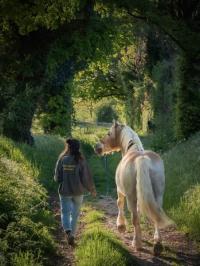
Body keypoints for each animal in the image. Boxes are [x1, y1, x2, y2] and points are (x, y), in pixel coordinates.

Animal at [94, 121, 173, 255]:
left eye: (109, 133)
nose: (97, 147)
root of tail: (142, 159)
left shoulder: (120, 191)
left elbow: (119, 204)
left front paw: (121, 226)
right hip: (158, 195)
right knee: (156, 216)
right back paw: (157, 244)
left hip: (131, 197)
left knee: (134, 218)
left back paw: (137, 244)